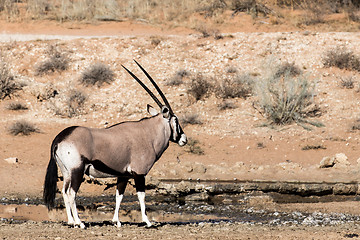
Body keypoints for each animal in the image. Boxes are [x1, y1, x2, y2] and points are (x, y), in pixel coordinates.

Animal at [43, 60, 187, 229]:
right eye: (176, 120)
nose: (184, 139)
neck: (148, 133)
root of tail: (59, 138)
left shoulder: (123, 175)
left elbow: (119, 196)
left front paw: (116, 221)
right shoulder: (139, 174)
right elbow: (141, 196)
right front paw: (147, 221)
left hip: (66, 172)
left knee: (65, 192)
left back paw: (71, 221)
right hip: (77, 170)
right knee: (72, 193)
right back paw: (80, 222)